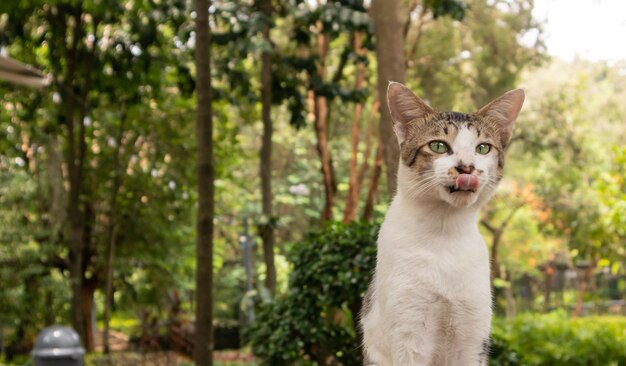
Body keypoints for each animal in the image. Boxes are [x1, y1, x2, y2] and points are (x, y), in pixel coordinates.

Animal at [356, 81, 520, 364]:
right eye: (438, 146)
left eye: (483, 148)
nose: (466, 167)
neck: (444, 234)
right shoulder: (409, 329)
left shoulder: (473, 333)